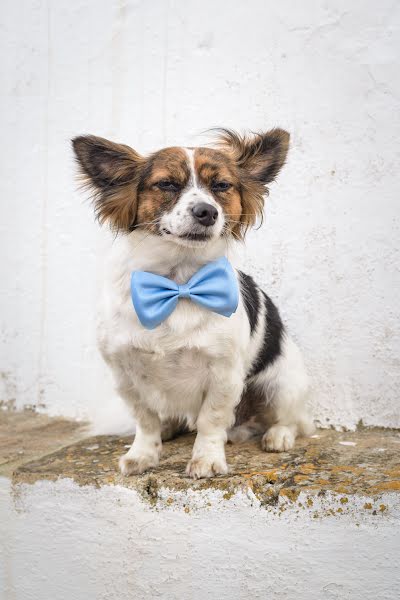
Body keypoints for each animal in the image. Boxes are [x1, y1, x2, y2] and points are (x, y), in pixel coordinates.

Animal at [73, 129, 314, 480]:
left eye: (222, 186)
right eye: (167, 184)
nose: (207, 212)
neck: (178, 283)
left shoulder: (224, 373)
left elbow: (211, 421)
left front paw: (207, 460)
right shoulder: (124, 373)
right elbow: (144, 419)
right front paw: (143, 454)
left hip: (282, 384)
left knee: (291, 419)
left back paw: (278, 435)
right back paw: (170, 427)